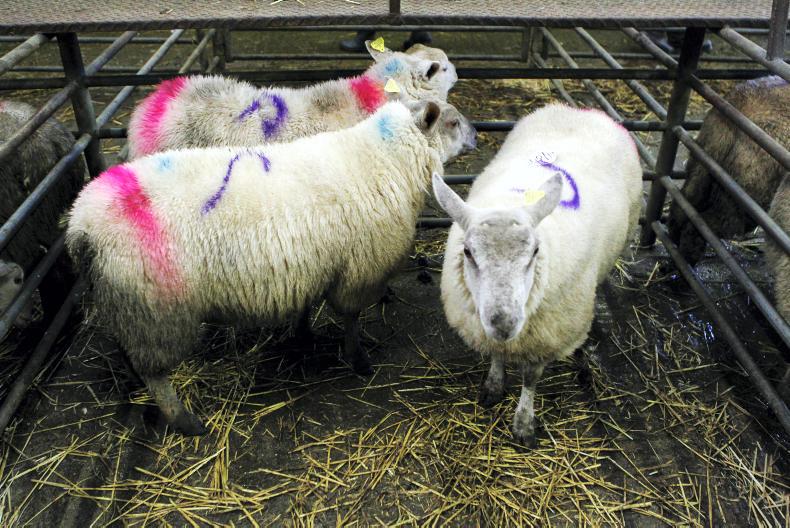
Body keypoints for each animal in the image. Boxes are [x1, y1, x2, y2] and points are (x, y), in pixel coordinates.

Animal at [67, 100, 476, 435]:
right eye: (452, 122)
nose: (475, 136)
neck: (384, 158)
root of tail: (80, 224)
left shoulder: (311, 264)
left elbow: (307, 307)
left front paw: (303, 335)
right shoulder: (359, 271)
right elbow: (351, 318)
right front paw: (357, 360)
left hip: (125, 300)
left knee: (129, 351)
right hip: (155, 309)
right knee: (156, 373)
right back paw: (185, 421)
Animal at [433, 104, 642, 446]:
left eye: (534, 252)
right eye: (467, 252)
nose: (504, 323)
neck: (510, 201)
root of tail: (581, 109)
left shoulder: (547, 336)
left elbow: (530, 378)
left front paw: (524, 423)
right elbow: (496, 353)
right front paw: (493, 385)